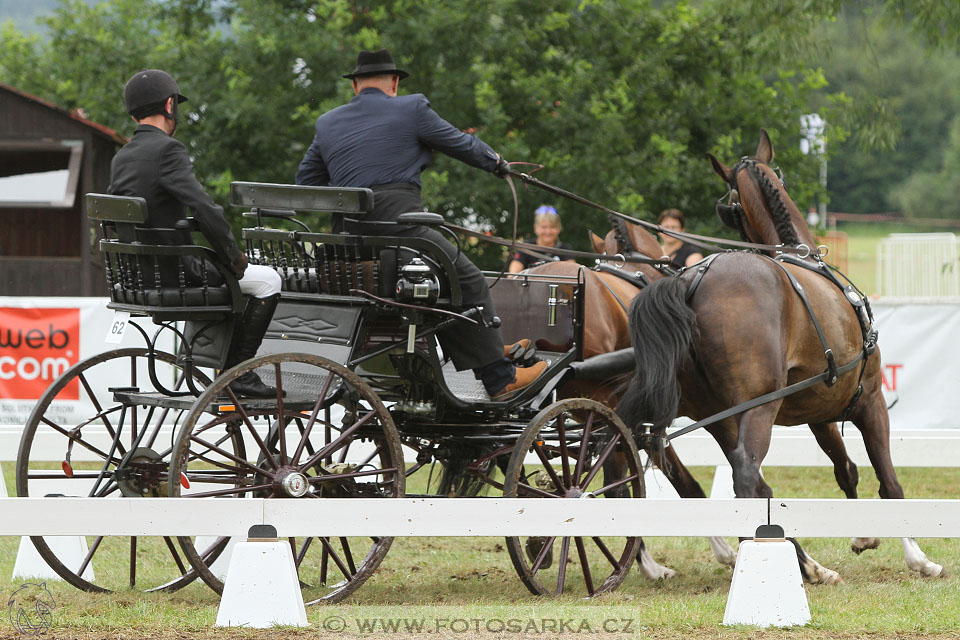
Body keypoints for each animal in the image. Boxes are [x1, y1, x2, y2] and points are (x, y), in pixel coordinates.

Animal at [620, 132, 940, 584]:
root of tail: (689, 282)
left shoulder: (821, 413)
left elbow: (846, 469)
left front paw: (863, 535)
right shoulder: (870, 399)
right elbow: (889, 482)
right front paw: (919, 559)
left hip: (718, 415)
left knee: (749, 483)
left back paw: (797, 561)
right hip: (758, 408)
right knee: (747, 475)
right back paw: (791, 562)